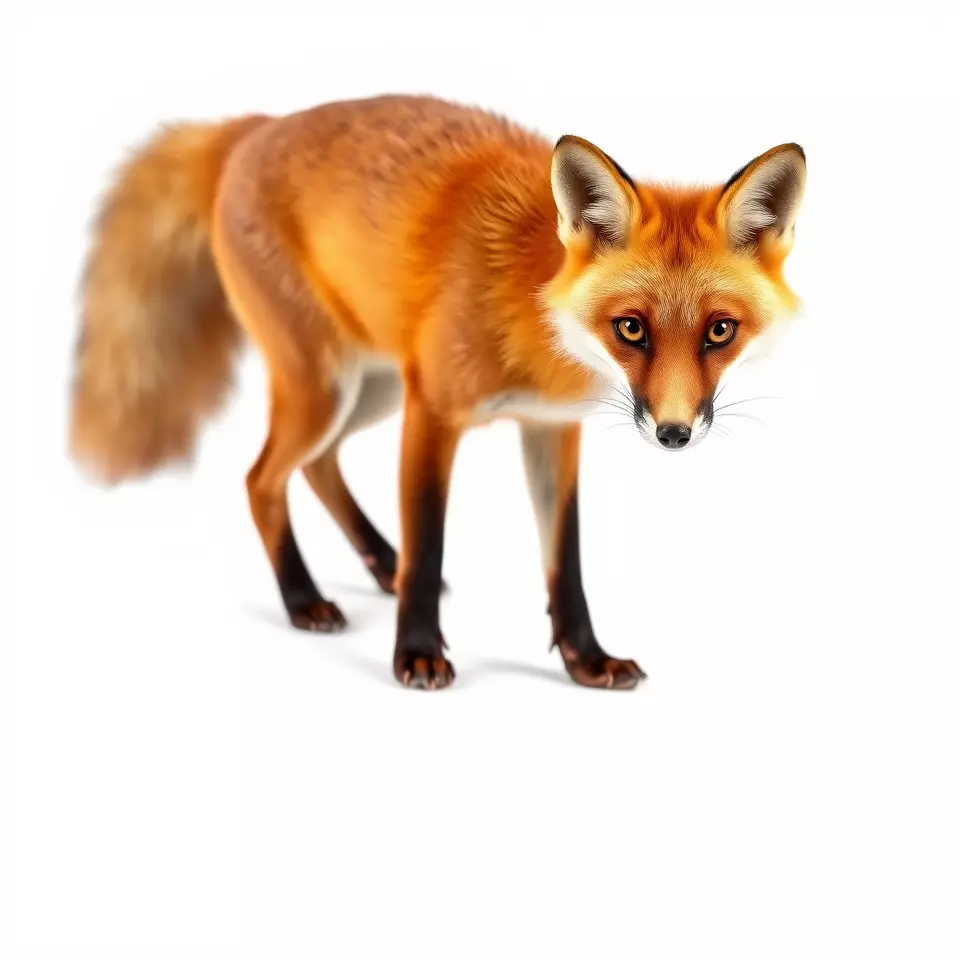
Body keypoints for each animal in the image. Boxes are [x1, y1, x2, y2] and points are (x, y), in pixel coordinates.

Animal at [70, 94, 806, 691]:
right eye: (631, 328)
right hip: (327, 387)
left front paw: (586, 660)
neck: (532, 309)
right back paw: (304, 599)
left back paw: (377, 563)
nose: (674, 433)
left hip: (370, 390)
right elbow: (428, 543)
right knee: (261, 479)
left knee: (316, 465)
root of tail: (251, 127)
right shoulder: (432, 410)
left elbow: (564, 561)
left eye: (719, 331)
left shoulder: (550, 428)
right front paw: (417, 653)